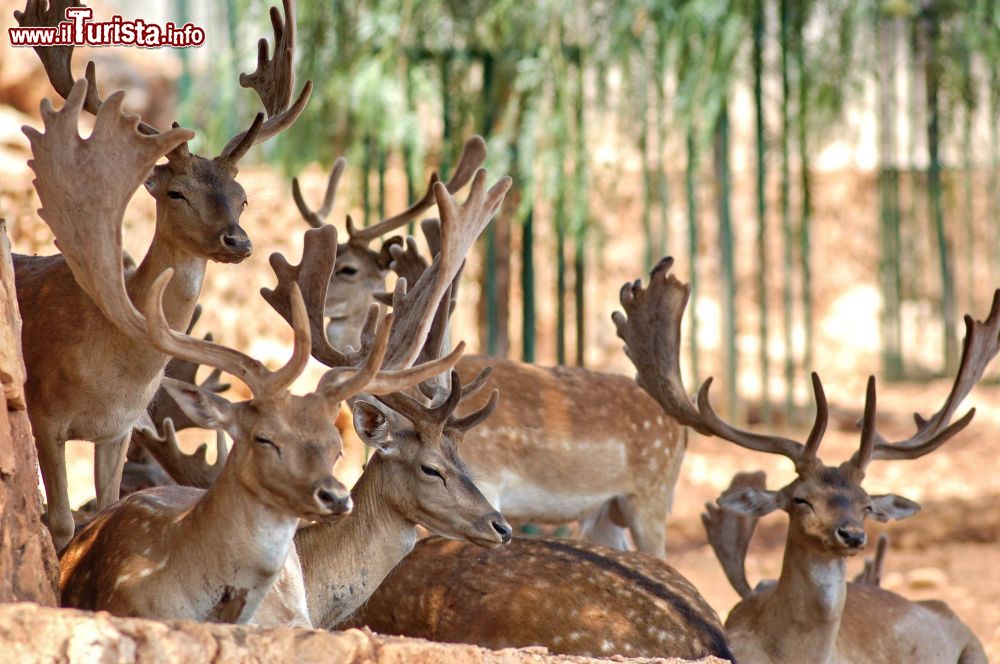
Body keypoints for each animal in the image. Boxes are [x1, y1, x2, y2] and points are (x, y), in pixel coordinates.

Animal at [13, 0, 310, 548]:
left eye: (242, 198)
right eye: (177, 193)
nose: (238, 242)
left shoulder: (120, 429)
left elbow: (107, 508)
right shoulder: (43, 412)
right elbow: (60, 520)